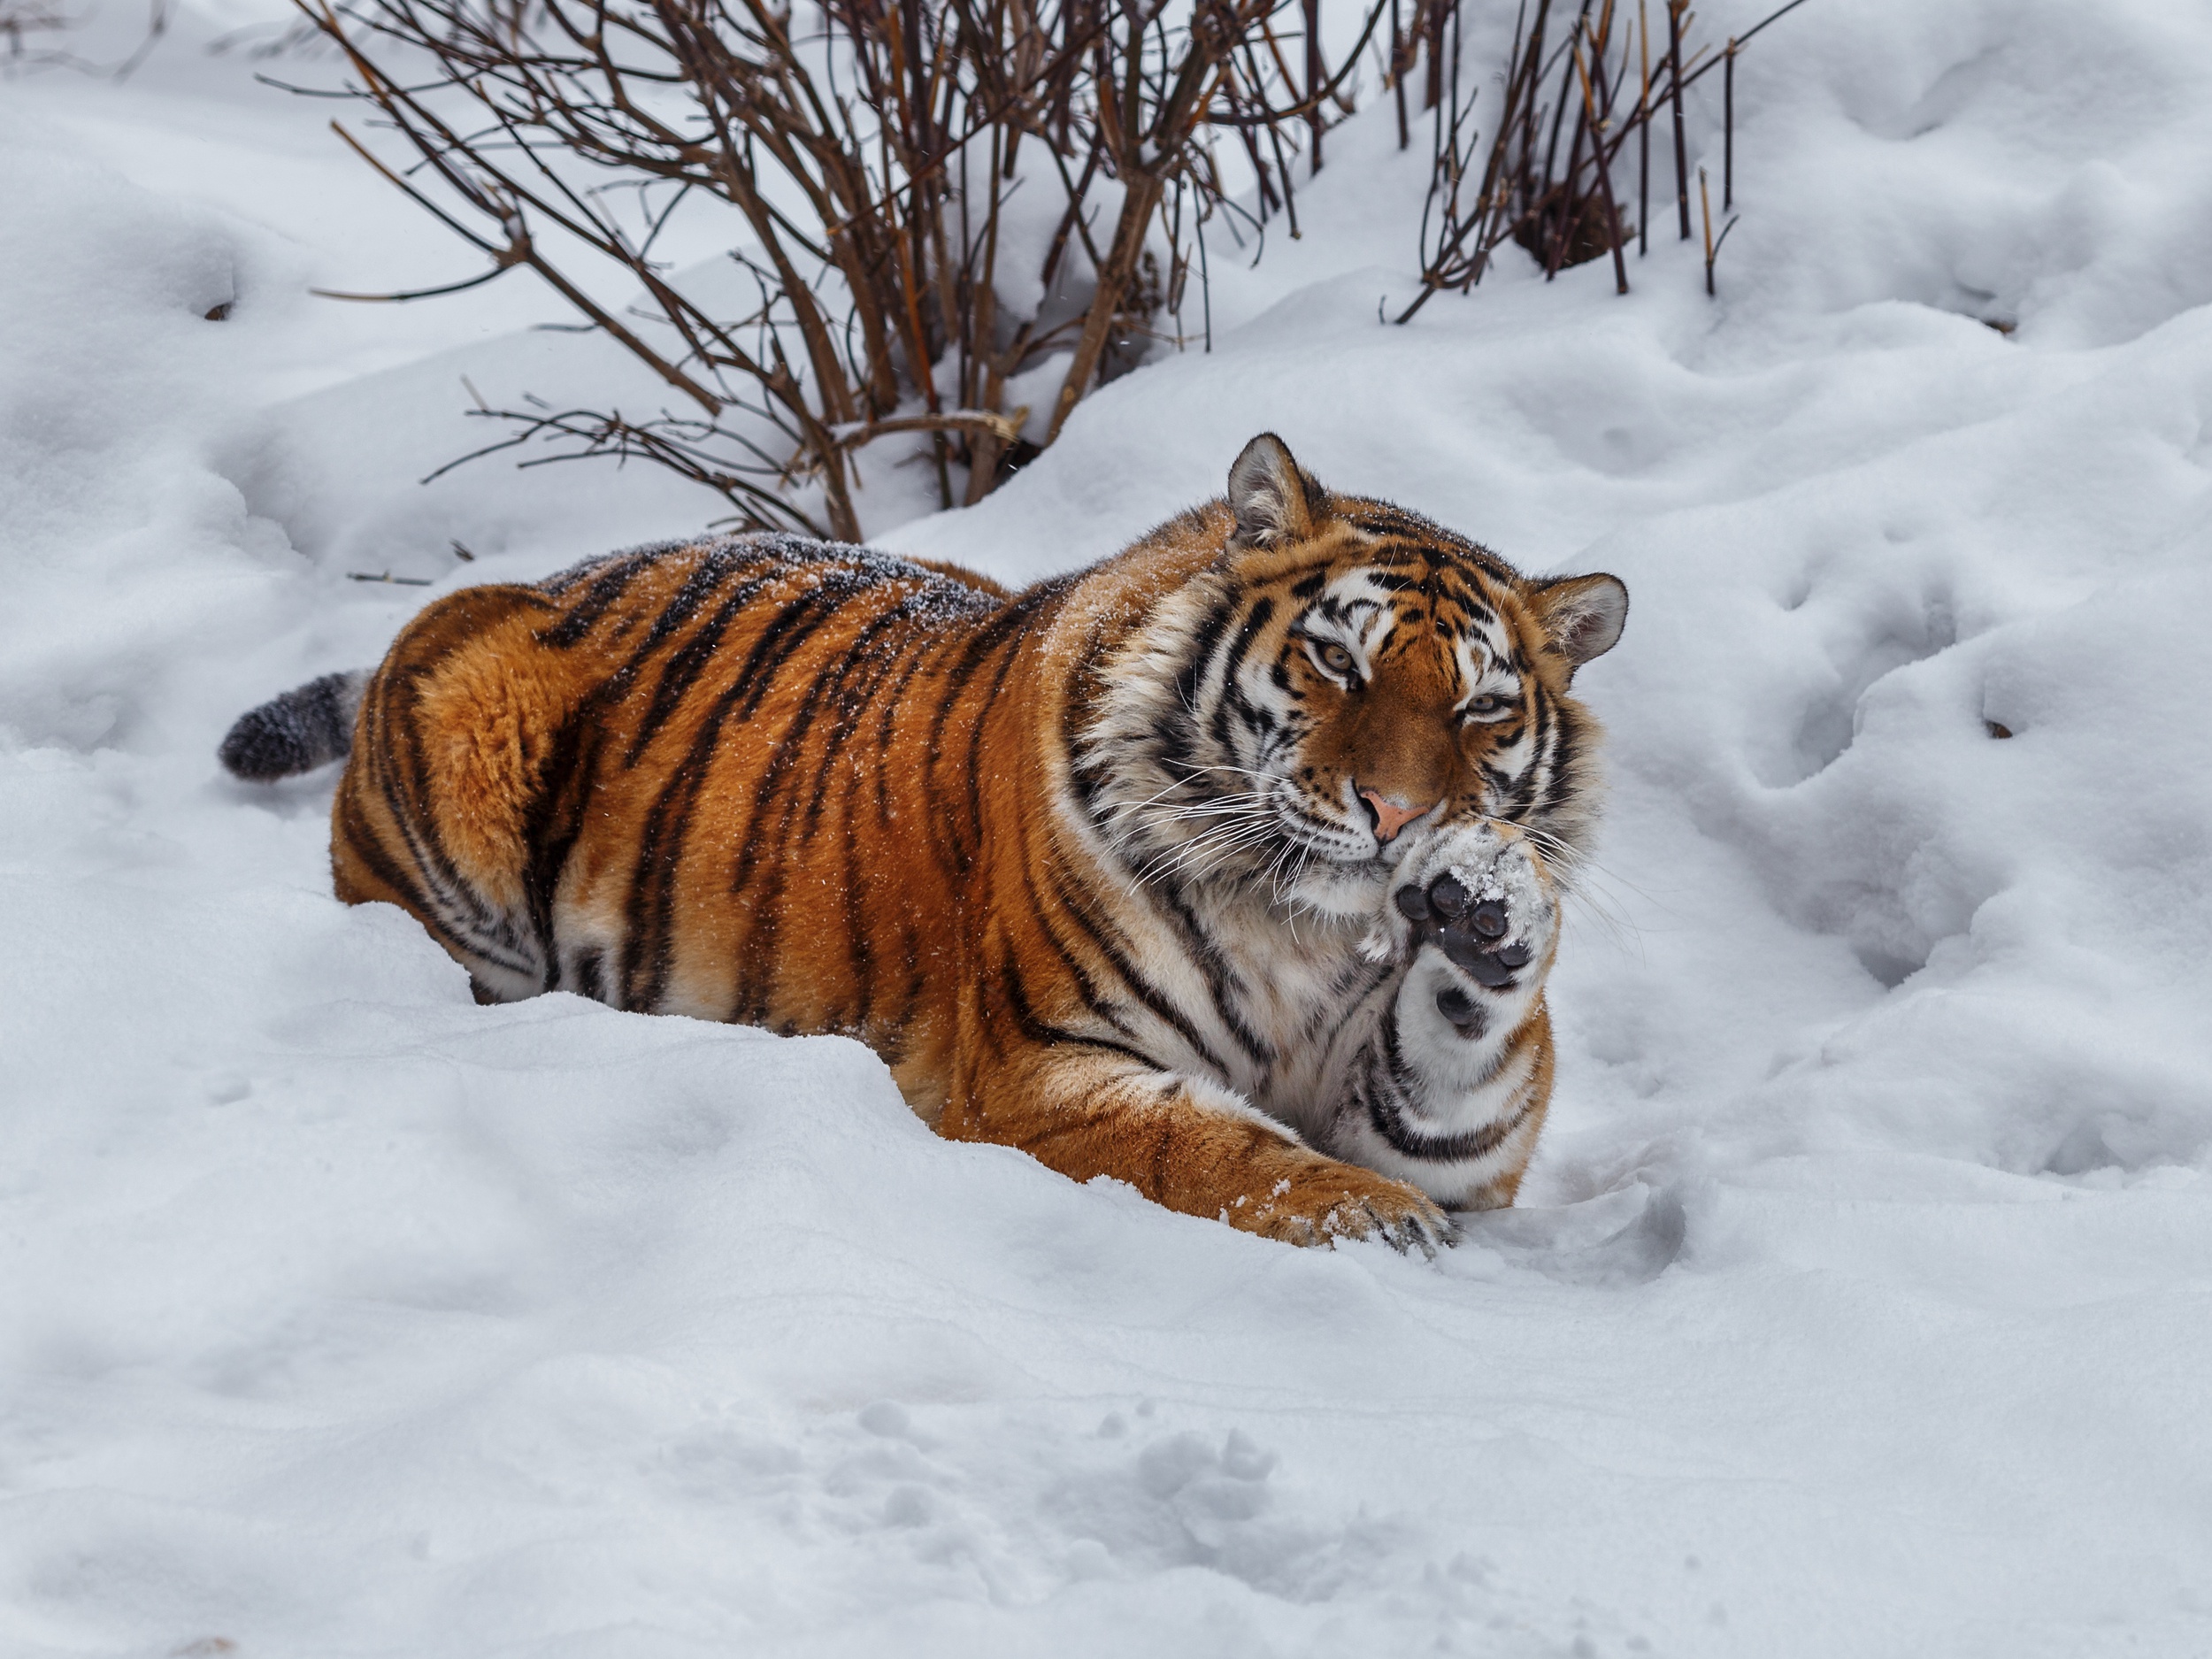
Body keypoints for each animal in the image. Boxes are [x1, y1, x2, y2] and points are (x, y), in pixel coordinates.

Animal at [224, 435, 1637, 1256]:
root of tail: (556, 571)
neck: (1307, 924)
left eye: (1481, 708)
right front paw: (1371, 1222)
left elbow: (1458, 1071)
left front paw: (1490, 903)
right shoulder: (1033, 1066)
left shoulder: (1442, 1123)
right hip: (469, 709)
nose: (1398, 816)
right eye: (1338, 660)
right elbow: (1215, 1147)